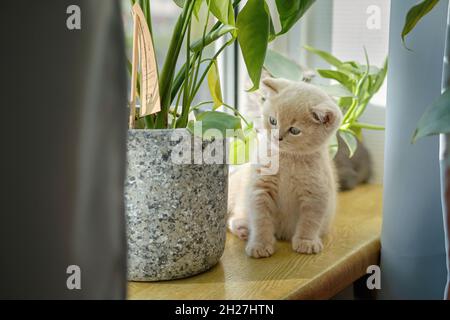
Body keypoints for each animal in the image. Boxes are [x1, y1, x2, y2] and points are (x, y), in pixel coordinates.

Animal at [229, 77, 342, 258]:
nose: (277, 137)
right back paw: (244, 229)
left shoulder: (316, 193)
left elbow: (310, 221)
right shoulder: (260, 188)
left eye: (294, 130)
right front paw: (260, 244)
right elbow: (260, 219)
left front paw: (306, 241)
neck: (288, 159)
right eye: (273, 121)